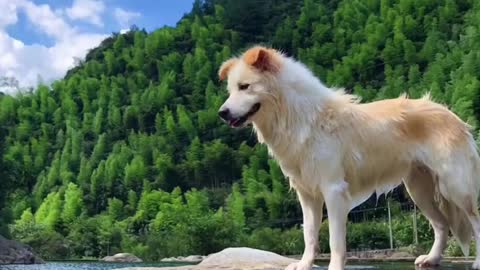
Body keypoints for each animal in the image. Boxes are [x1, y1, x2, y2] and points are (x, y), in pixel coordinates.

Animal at [217, 46, 480, 270]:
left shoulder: (334, 191)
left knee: (475, 221)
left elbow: (335, 240)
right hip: (419, 191)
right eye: (231, 90)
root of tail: (452, 116)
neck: (298, 117)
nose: (222, 113)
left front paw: (334, 266)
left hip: (456, 188)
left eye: (245, 86)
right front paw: (304, 264)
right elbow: (309, 234)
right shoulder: (307, 195)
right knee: (442, 225)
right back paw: (432, 259)